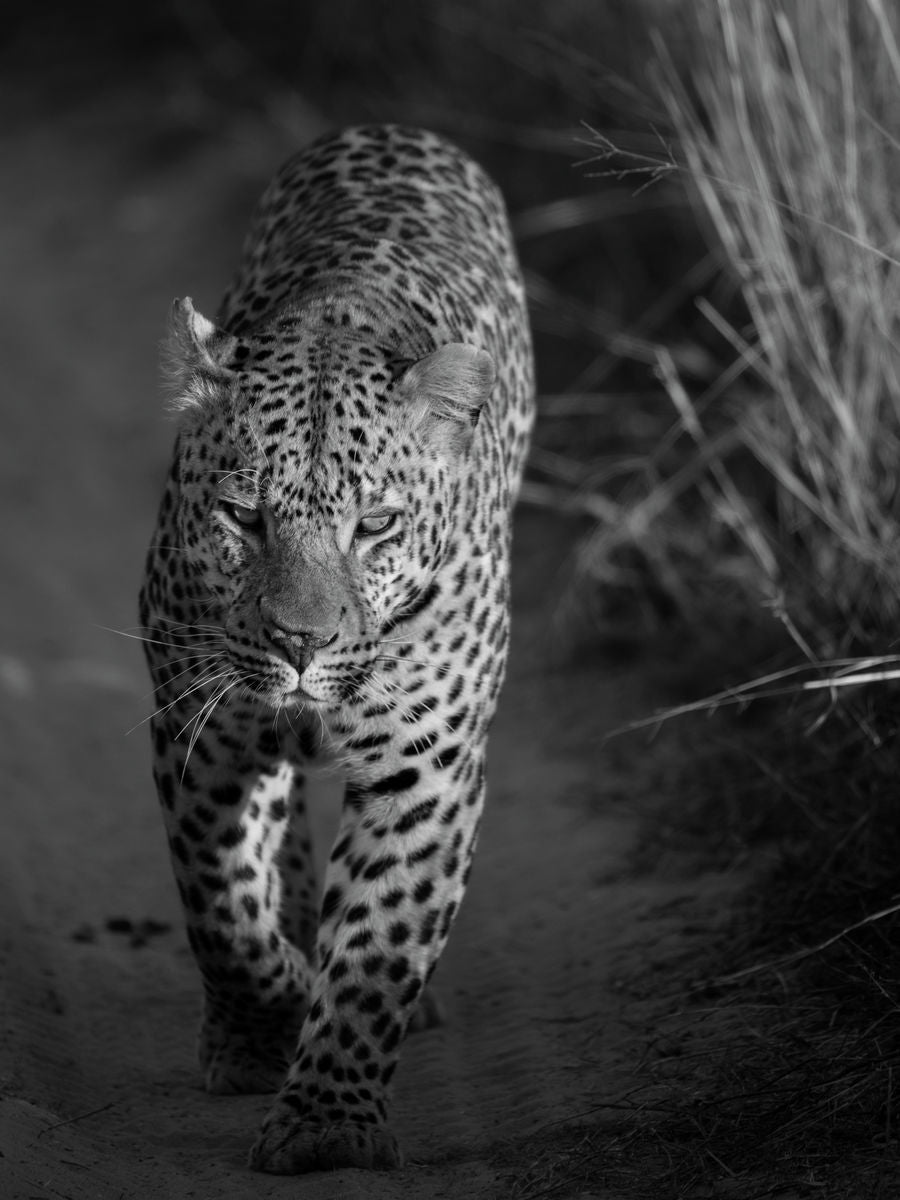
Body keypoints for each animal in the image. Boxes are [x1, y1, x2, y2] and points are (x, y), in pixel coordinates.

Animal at [140, 121, 535, 1171]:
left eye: (379, 525)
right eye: (243, 516)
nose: (300, 645)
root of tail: (395, 127)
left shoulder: (425, 765)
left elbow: (377, 945)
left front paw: (327, 1121)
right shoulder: (201, 733)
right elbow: (222, 908)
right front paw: (267, 1018)